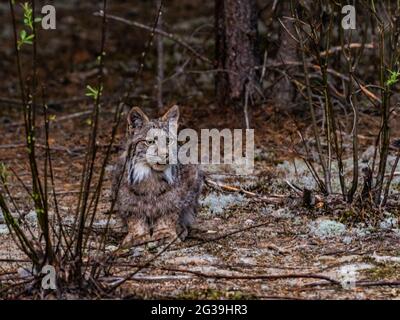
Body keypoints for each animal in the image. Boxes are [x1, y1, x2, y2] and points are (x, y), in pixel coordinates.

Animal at [111, 105, 203, 248]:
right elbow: (134, 217)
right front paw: (137, 235)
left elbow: (168, 213)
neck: (150, 174)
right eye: (150, 142)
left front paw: (165, 233)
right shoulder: (125, 196)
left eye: (168, 141)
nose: (165, 154)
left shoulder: (176, 195)